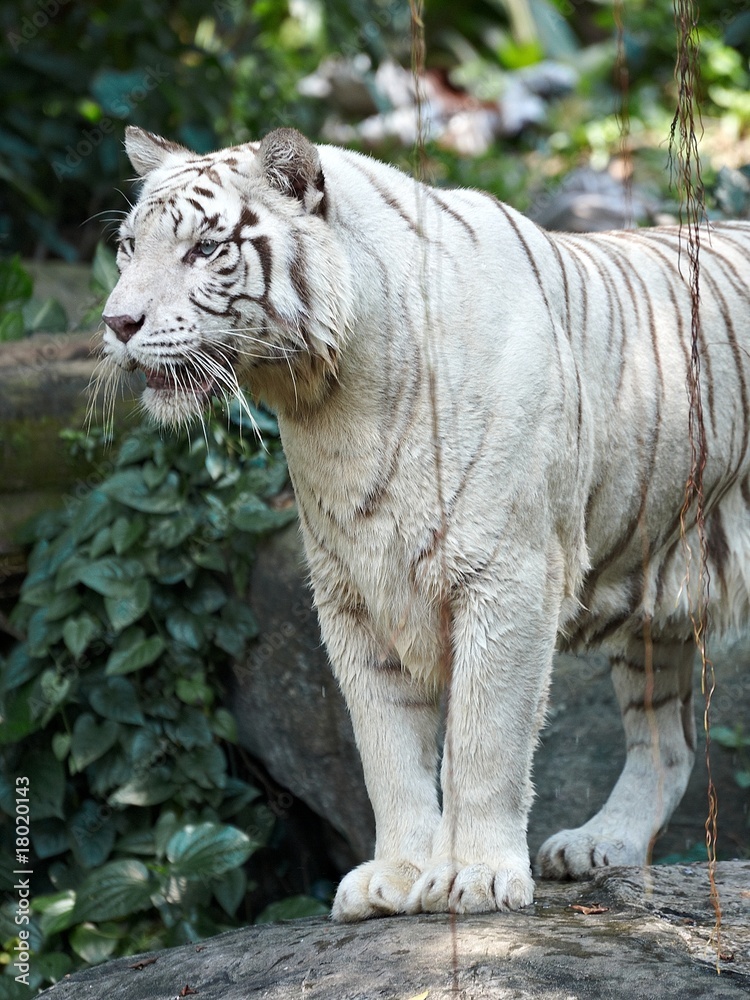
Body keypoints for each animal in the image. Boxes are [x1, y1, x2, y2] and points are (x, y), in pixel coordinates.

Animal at [101, 124, 750, 921]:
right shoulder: (353, 592)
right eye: (129, 246)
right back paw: (600, 845)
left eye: (203, 248)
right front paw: (398, 875)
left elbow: (482, 739)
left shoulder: (509, 576)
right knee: (667, 745)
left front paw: (476, 876)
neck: (331, 401)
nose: (117, 323)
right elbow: (388, 749)